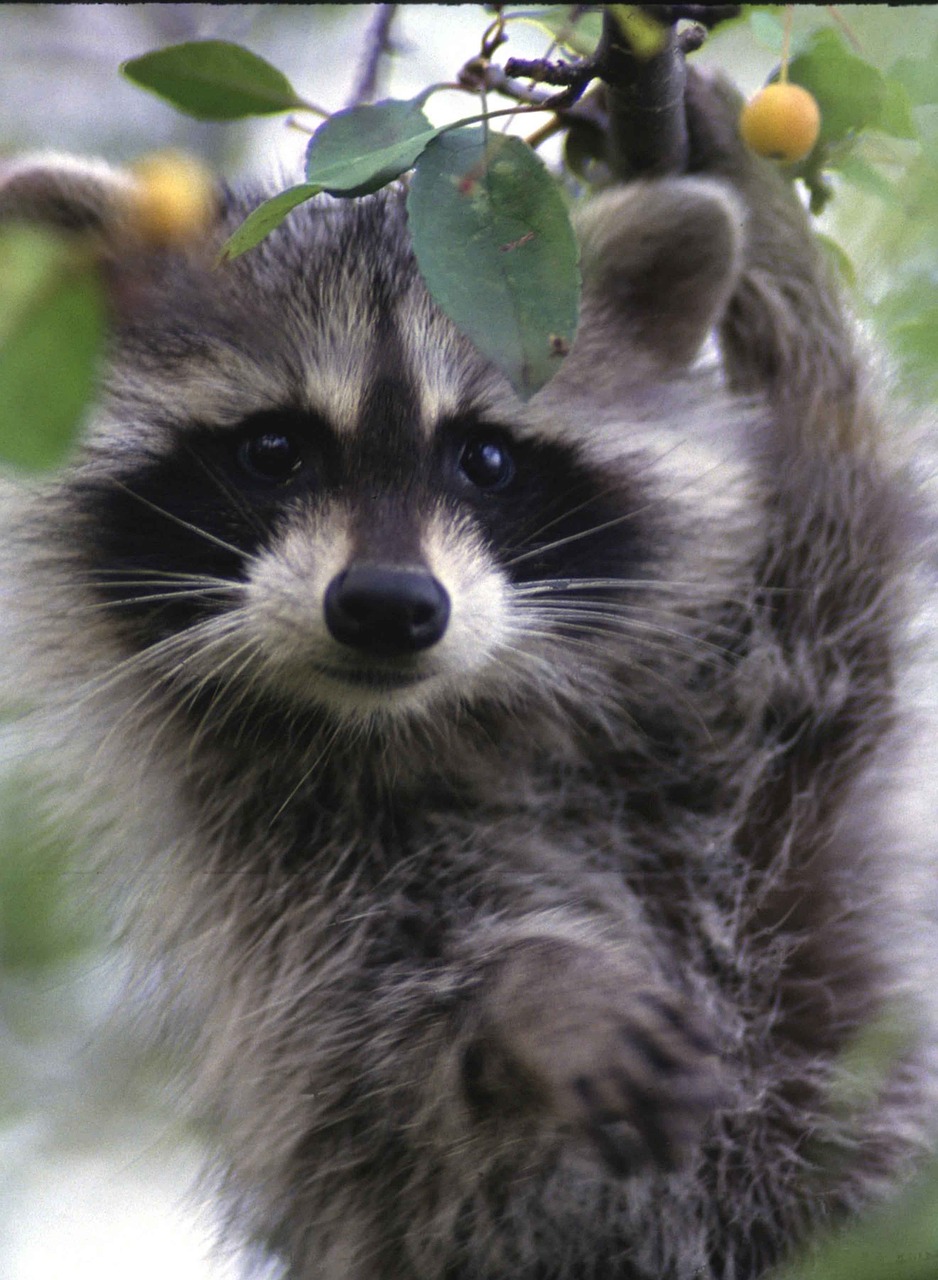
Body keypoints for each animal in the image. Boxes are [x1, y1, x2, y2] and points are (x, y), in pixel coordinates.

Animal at [1, 70, 936, 1280]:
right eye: (274, 450)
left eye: (484, 457)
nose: (387, 606)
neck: (444, 720)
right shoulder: (269, 872)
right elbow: (378, 1037)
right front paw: (524, 987)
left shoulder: (773, 753)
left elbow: (841, 517)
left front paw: (762, 216)